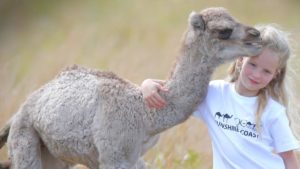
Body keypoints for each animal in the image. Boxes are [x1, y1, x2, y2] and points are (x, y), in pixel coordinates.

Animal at [0, 7, 260, 169]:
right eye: (223, 31)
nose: (256, 35)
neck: (145, 114)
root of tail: (19, 112)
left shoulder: (133, 157)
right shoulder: (113, 155)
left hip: (55, 156)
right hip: (25, 139)